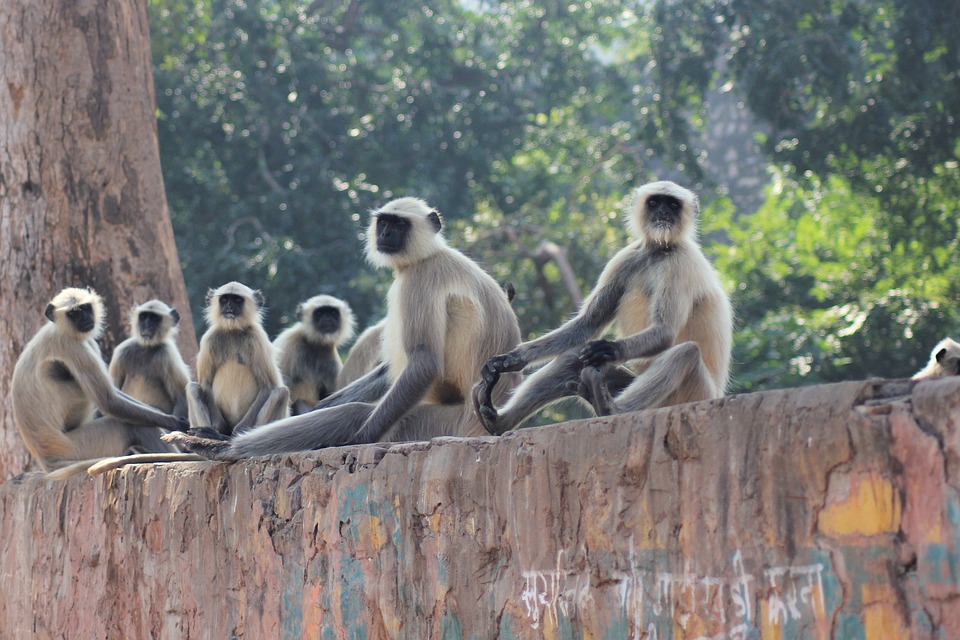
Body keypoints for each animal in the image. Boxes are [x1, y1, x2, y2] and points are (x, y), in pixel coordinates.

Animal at [11, 287, 186, 475]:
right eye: (73, 313)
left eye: (85, 308)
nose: (85, 319)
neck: (59, 328)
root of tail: (47, 461)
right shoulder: (72, 346)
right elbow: (108, 401)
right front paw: (175, 423)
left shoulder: (86, 342)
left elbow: (114, 393)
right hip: (78, 448)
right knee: (130, 425)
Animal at [186, 281, 290, 436]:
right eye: (224, 299)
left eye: (237, 300)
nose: (229, 307)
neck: (233, 330)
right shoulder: (209, 339)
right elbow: (205, 383)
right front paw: (218, 428)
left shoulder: (257, 337)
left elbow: (268, 386)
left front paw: (240, 431)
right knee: (192, 388)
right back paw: (210, 432)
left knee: (281, 392)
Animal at [473, 180, 733, 433]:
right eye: (654, 202)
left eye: (672, 204)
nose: (663, 214)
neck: (658, 251)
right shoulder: (625, 258)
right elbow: (588, 324)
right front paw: (510, 359)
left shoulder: (680, 263)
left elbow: (665, 330)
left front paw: (608, 349)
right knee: (573, 357)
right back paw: (498, 422)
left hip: (694, 395)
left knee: (686, 352)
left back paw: (610, 408)